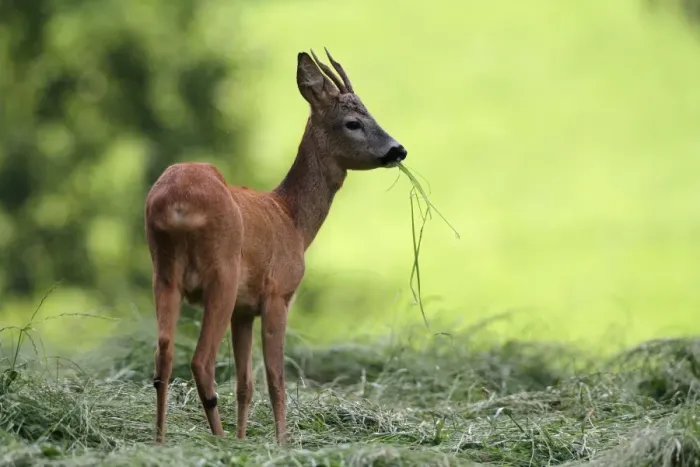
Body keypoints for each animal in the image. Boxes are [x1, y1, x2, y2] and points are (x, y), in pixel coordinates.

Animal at [144, 48, 407, 445]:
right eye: (353, 122)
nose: (398, 149)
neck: (293, 220)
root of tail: (177, 202)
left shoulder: (243, 310)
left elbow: (245, 384)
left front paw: (245, 439)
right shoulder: (278, 293)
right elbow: (275, 380)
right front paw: (282, 443)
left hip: (163, 273)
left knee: (164, 356)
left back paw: (161, 441)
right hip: (221, 274)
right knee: (201, 361)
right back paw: (218, 439)